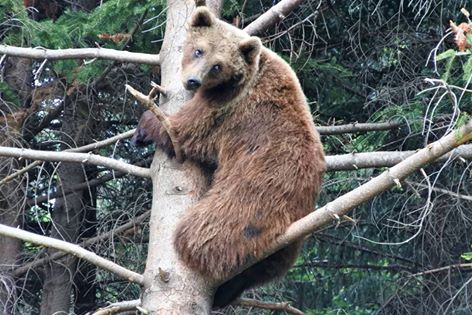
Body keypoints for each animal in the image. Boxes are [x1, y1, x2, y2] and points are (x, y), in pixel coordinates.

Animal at [132, 6, 324, 308]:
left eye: (217, 65)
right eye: (198, 50)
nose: (193, 81)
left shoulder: (226, 109)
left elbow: (185, 131)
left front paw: (146, 126)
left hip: (248, 198)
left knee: (206, 231)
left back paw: (192, 247)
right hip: (286, 244)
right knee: (264, 268)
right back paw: (227, 290)